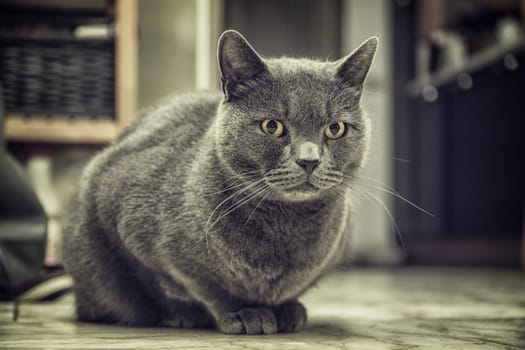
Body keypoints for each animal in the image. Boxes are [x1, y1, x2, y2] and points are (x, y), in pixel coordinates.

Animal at [60, 30, 376, 334]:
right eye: (272, 126)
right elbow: (196, 288)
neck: (285, 227)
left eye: (335, 129)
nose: (309, 160)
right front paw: (240, 312)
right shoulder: (125, 224)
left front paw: (286, 309)